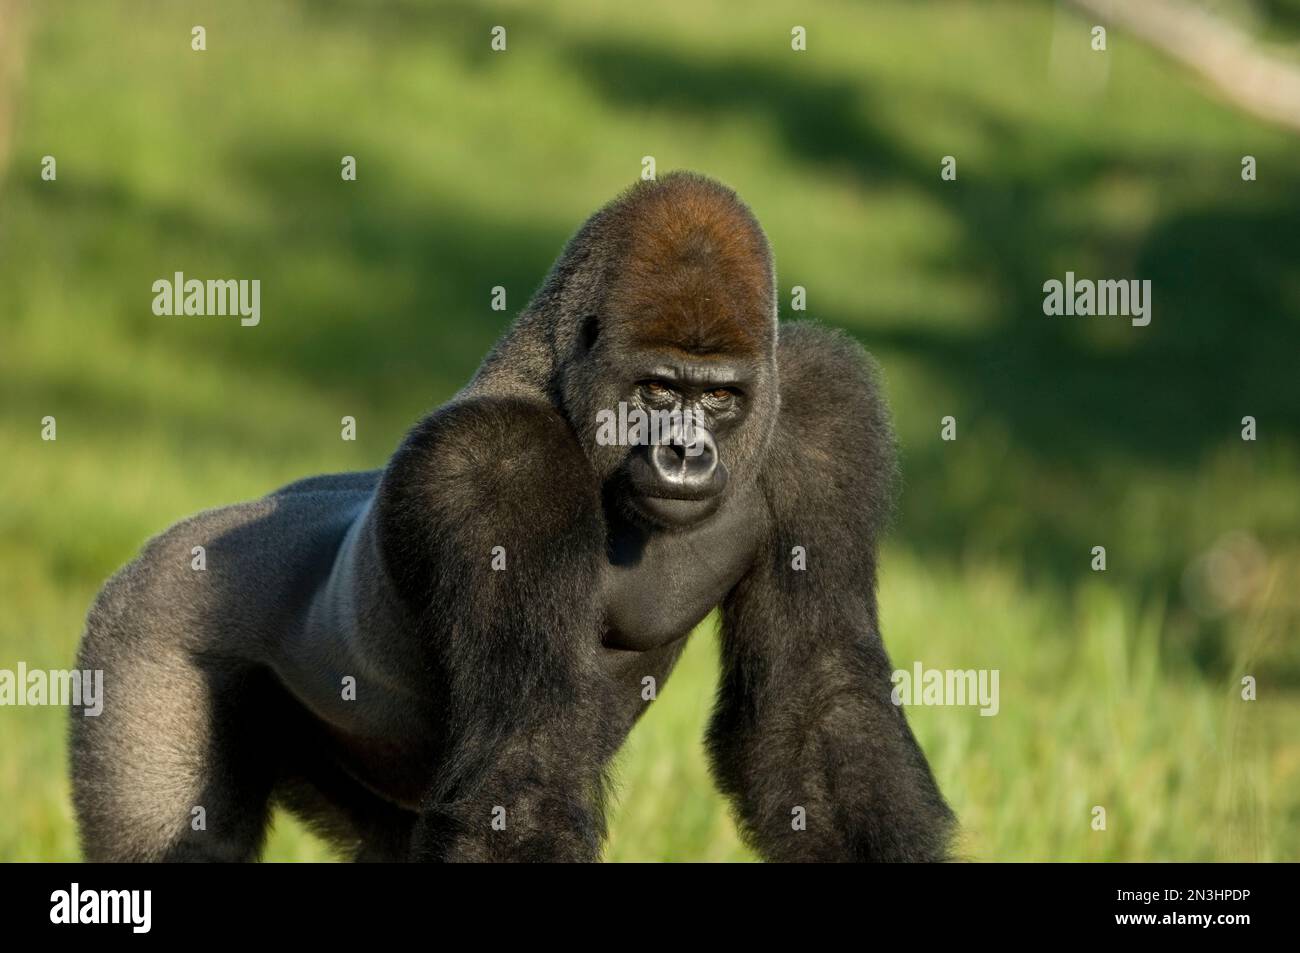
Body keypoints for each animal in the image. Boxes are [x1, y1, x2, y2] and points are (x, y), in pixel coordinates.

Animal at [76, 172, 961, 863]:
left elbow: (813, 704)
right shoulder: (500, 465)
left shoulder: (822, 406)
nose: (686, 454)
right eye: (657, 390)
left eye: (718, 396)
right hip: (140, 635)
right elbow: (524, 762)